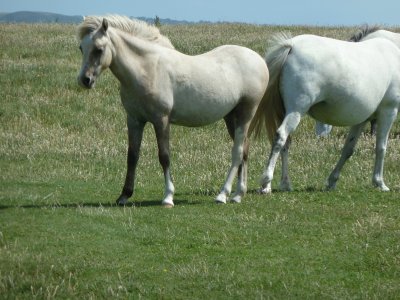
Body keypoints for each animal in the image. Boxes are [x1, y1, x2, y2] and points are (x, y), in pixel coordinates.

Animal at [76, 15, 270, 206]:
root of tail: (258, 59)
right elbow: (132, 156)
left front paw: (168, 196)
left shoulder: (161, 119)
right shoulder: (134, 120)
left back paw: (223, 195)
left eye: (99, 49)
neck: (148, 69)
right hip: (231, 117)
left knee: (237, 152)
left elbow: (164, 156)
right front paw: (124, 195)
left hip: (245, 114)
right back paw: (238, 194)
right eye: (81, 48)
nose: (85, 80)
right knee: (244, 149)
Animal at [250, 31, 400, 193]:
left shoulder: (361, 120)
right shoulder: (388, 111)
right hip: (296, 110)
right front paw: (379, 182)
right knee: (281, 136)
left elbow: (348, 149)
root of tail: (292, 46)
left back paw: (283, 184)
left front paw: (332, 181)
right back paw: (266, 182)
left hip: (285, 112)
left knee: (285, 142)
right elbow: (381, 148)